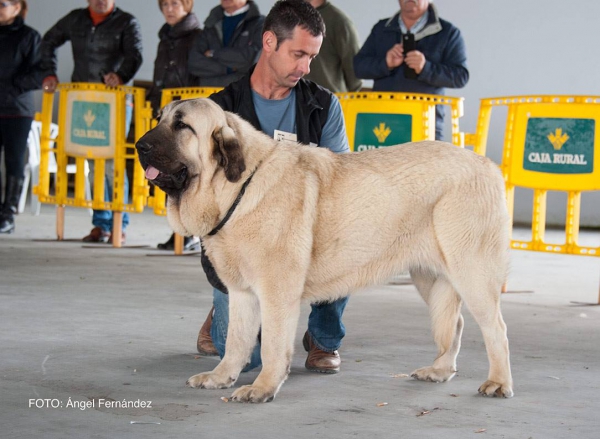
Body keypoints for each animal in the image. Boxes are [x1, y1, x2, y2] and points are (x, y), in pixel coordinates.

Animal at [135, 98, 510, 404]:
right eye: (159, 118)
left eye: (182, 126)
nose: (139, 145)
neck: (237, 187)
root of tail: (487, 164)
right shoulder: (242, 293)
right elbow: (238, 341)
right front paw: (222, 377)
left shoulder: (276, 293)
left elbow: (272, 345)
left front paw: (263, 387)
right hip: (432, 279)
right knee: (455, 323)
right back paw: (440, 370)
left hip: (471, 272)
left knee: (496, 328)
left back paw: (498, 382)